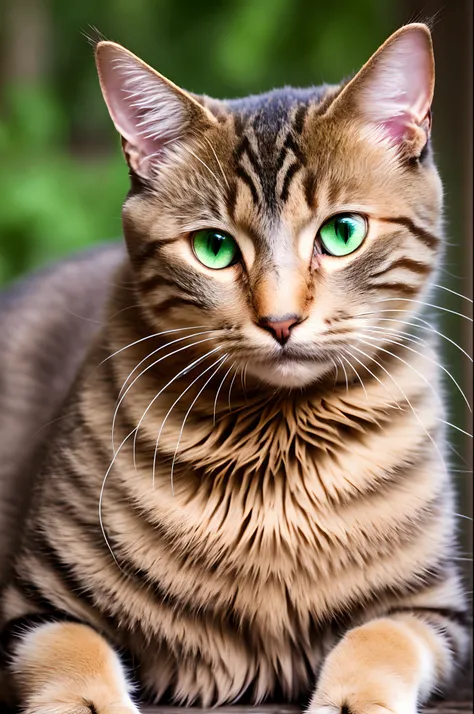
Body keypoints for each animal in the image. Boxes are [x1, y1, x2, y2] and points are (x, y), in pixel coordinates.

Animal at [0, 22, 470, 712]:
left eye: (343, 233)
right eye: (214, 247)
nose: (280, 321)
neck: (275, 447)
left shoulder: (431, 610)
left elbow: (377, 639)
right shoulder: (33, 609)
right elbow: (72, 657)